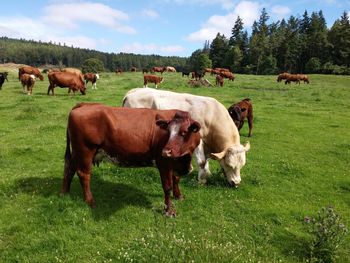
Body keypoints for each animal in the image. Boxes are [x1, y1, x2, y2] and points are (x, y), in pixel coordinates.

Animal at [61, 103, 201, 217]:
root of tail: (85, 104)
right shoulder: (164, 163)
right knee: (84, 174)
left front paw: (179, 196)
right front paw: (169, 210)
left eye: (184, 132)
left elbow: (176, 179)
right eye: (168, 131)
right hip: (85, 150)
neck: (185, 158)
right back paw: (90, 201)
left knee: (69, 168)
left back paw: (65, 193)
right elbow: (167, 187)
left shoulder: (176, 163)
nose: (166, 151)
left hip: (78, 152)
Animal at [121, 88, 250, 188]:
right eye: (229, 165)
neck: (213, 116)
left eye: (242, 165)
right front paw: (202, 180)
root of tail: (134, 91)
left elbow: (206, 160)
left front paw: (207, 173)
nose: (236, 183)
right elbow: (202, 161)